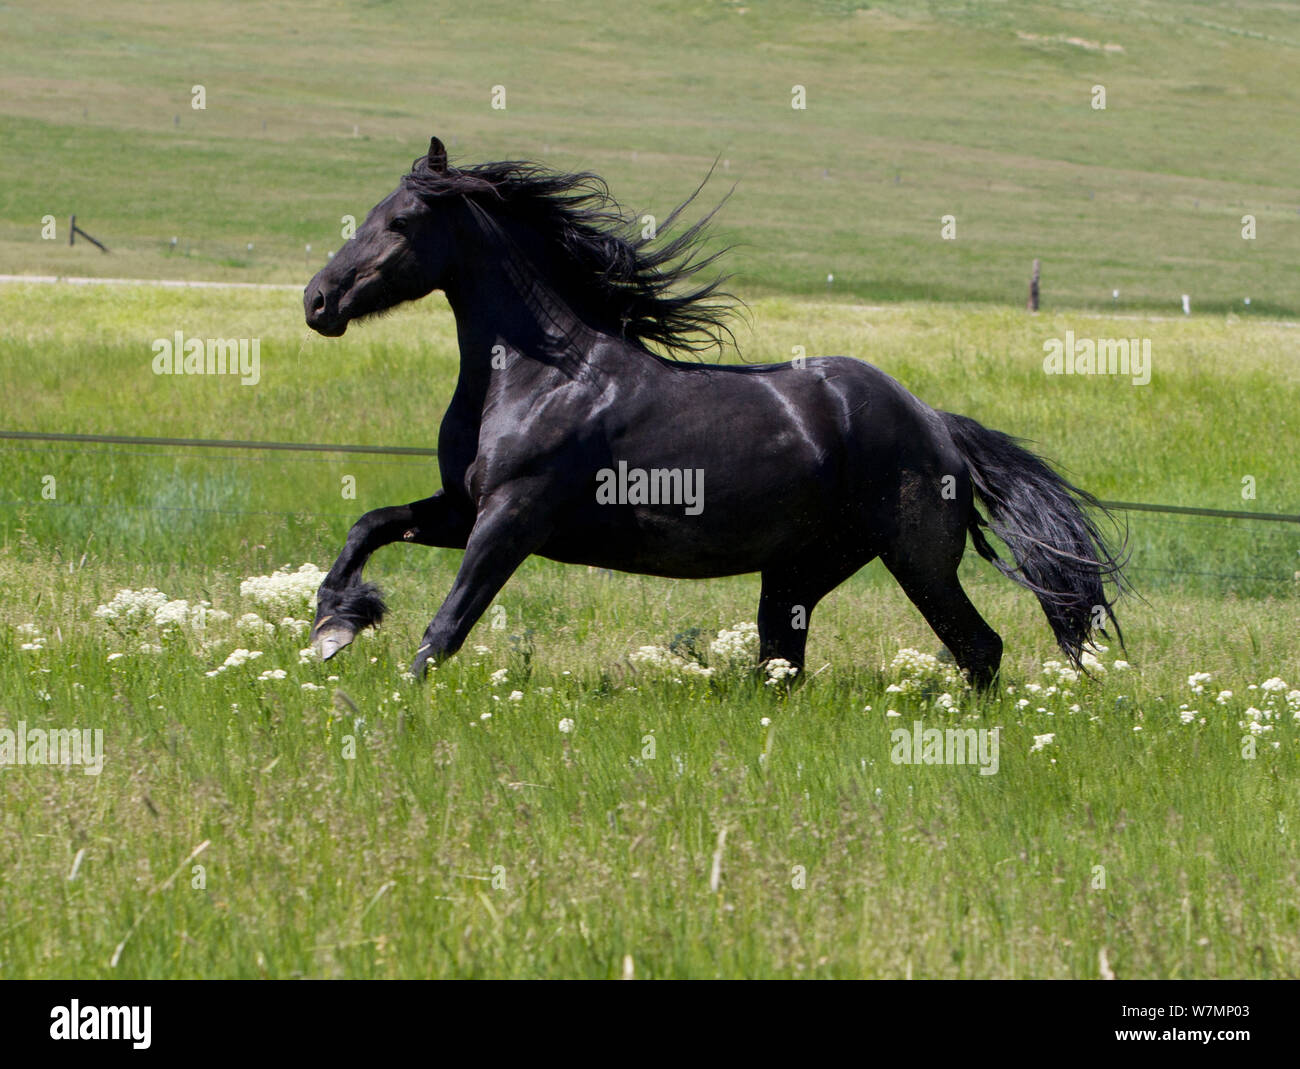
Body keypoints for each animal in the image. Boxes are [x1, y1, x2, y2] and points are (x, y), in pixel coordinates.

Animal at [303, 136, 1125, 687]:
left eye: (402, 221)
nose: (317, 301)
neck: (540, 375)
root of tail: (936, 424)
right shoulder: (462, 506)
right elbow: (368, 525)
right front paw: (333, 624)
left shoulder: (512, 518)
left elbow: (445, 627)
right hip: (801, 570)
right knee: (783, 661)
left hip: (915, 557)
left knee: (979, 647)